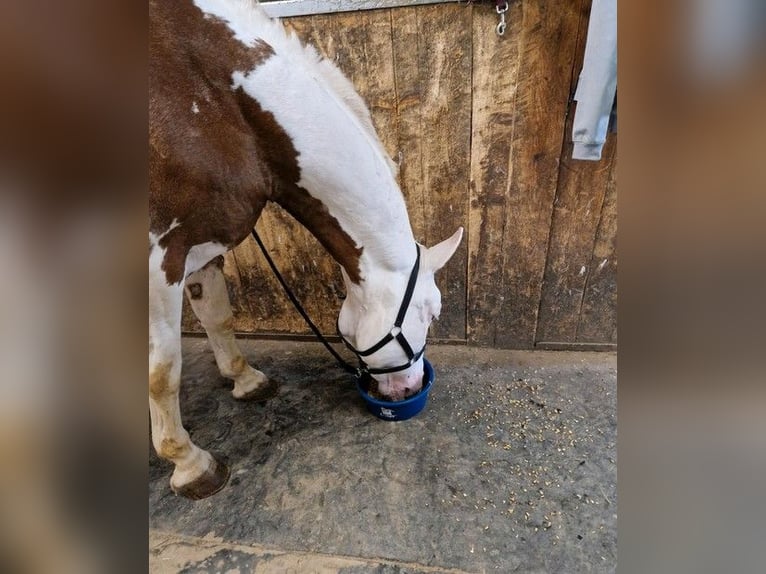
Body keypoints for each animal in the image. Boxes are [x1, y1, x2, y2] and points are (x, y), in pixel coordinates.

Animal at [149, 0, 462, 502]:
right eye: (432, 312)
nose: (410, 386)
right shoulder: (158, 257)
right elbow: (163, 371)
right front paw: (189, 464)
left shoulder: (199, 242)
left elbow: (218, 316)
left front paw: (246, 380)